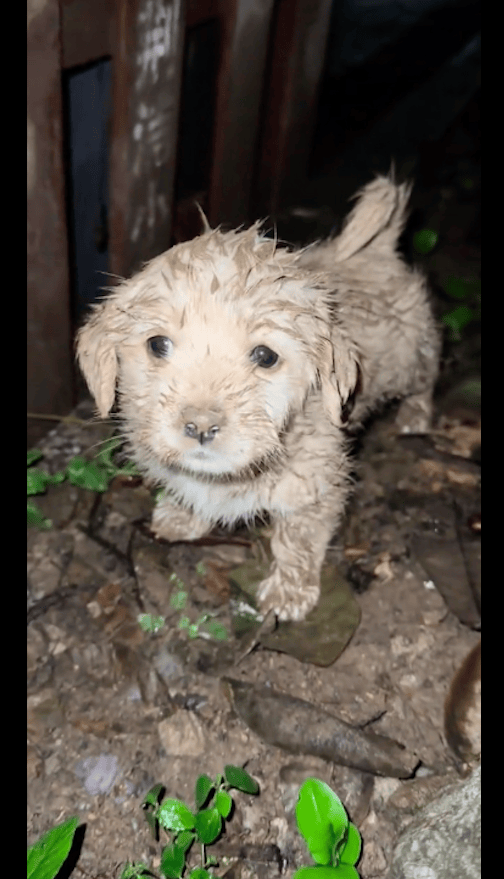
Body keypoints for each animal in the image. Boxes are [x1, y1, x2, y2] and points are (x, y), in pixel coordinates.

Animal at [77, 177, 440, 620]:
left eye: (265, 356)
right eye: (158, 344)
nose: (200, 426)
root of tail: (375, 248)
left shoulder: (315, 486)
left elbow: (298, 539)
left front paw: (290, 591)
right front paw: (182, 516)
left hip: (413, 358)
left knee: (427, 378)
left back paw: (415, 417)